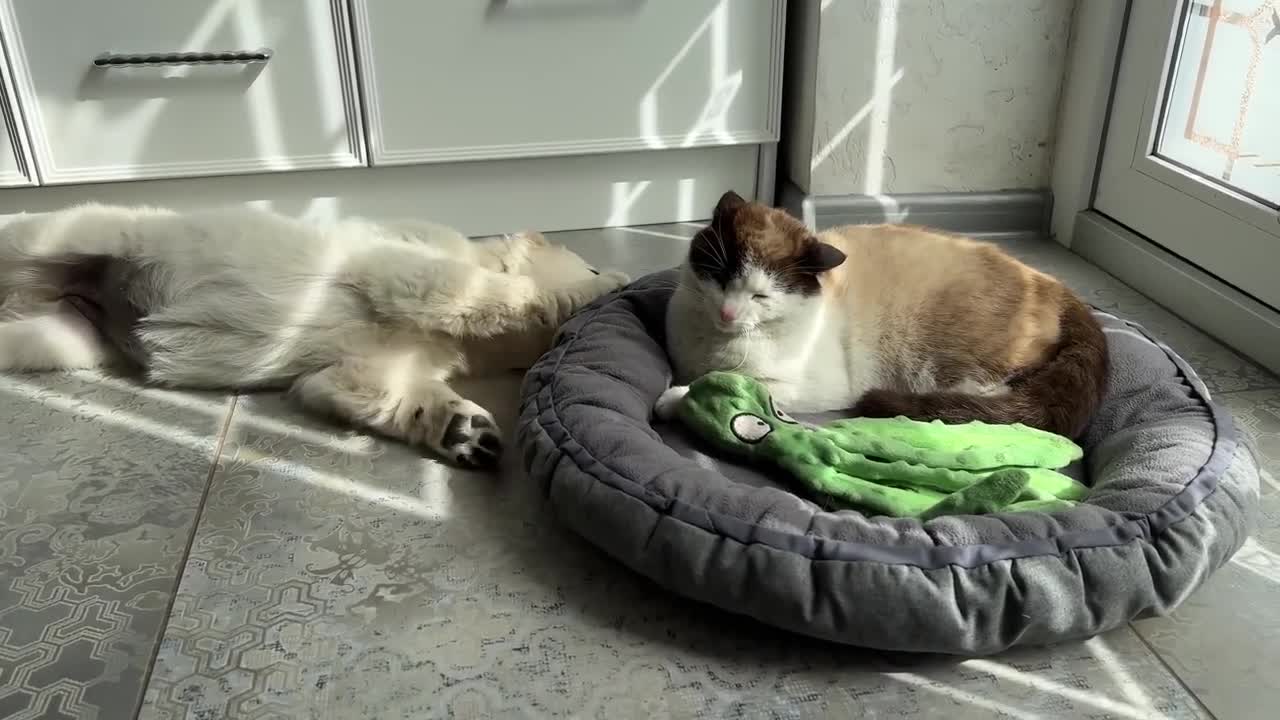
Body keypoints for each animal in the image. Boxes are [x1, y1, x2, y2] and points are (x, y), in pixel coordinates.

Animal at [655, 189, 1105, 438]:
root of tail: (1053, 282)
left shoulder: (806, 387)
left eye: (762, 296)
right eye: (720, 275)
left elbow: (726, 382)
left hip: (955, 371)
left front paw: (673, 399)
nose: (728, 313)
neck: (712, 343)